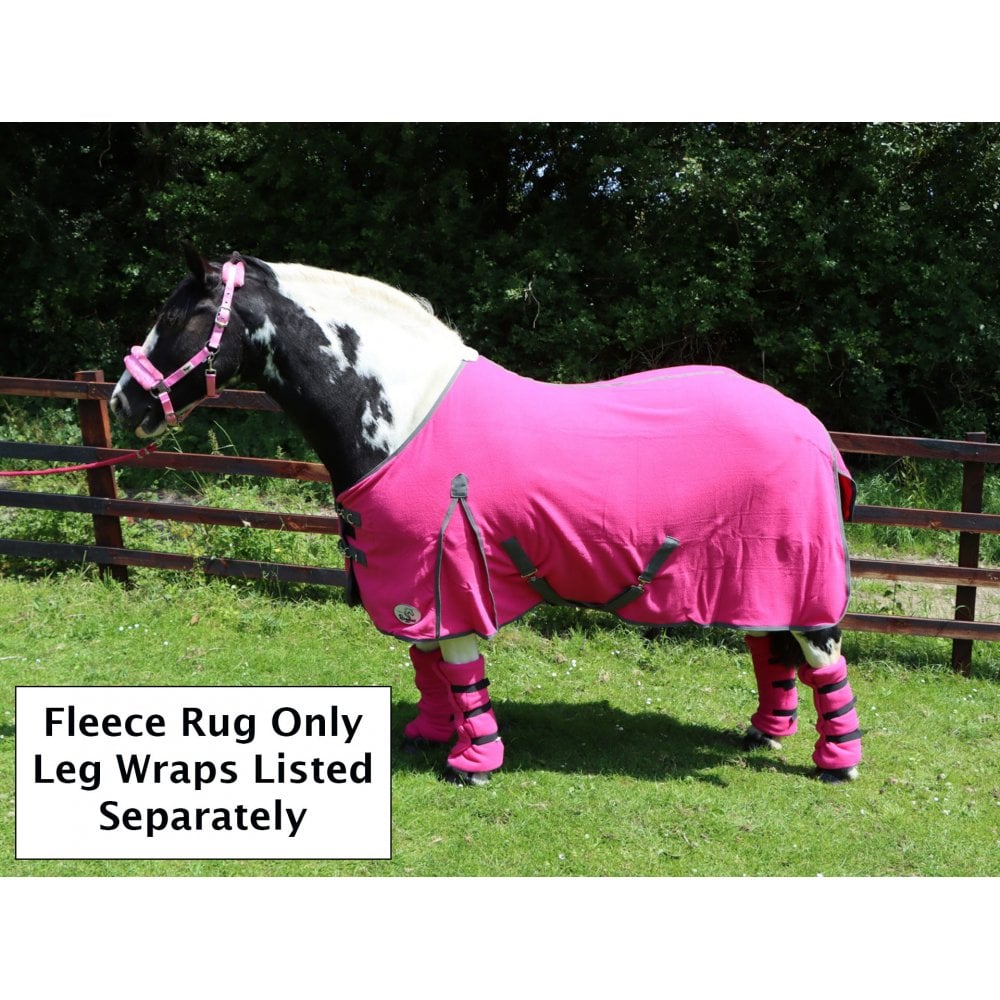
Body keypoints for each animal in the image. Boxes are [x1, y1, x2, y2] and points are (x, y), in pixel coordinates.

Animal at [110, 247, 863, 785]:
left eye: (175, 320)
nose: (122, 402)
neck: (404, 413)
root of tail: (811, 427)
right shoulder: (405, 574)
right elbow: (428, 662)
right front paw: (433, 732)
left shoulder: (446, 568)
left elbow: (461, 663)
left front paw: (474, 762)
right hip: (754, 573)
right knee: (771, 646)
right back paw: (766, 730)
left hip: (794, 569)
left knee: (821, 654)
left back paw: (837, 763)